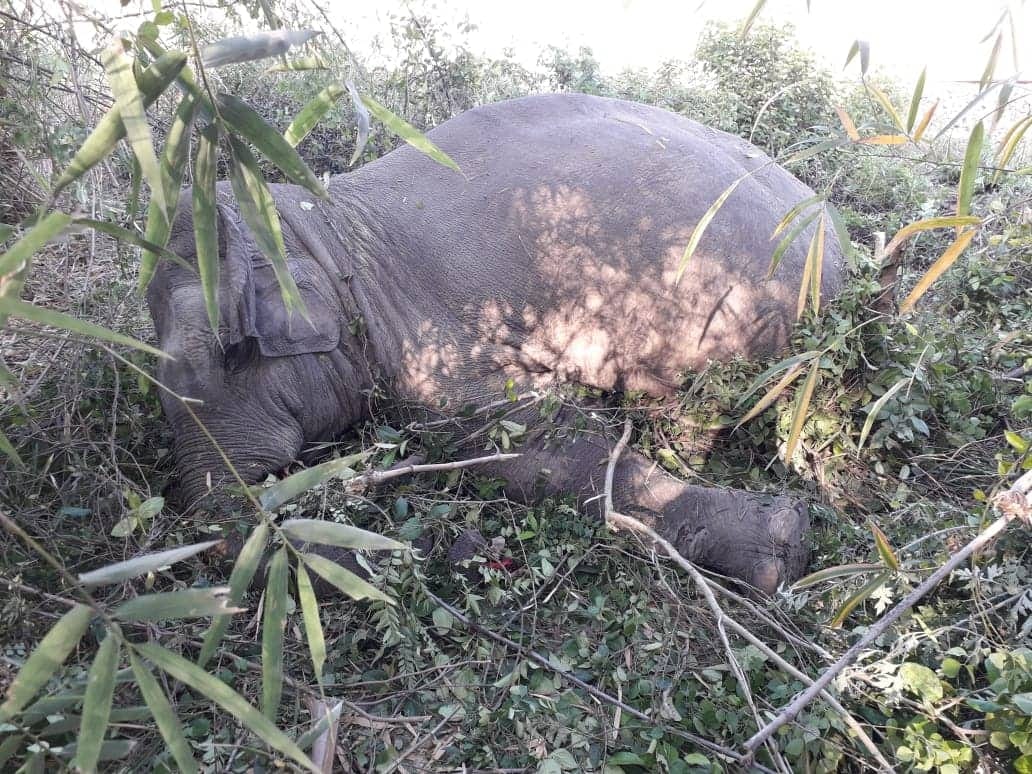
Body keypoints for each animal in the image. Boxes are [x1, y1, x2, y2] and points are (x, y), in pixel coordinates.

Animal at [148, 93, 844, 594]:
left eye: (235, 349)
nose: (451, 551)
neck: (331, 233)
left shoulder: (428, 345)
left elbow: (530, 448)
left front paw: (785, 545)